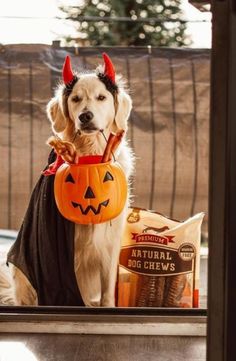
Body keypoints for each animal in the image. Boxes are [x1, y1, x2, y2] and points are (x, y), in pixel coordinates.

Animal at [6, 54, 135, 306]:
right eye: (75, 99)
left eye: (102, 97)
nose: (85, 116)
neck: (90, 156)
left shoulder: (110, 242)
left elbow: (108, 289)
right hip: (20, 272)